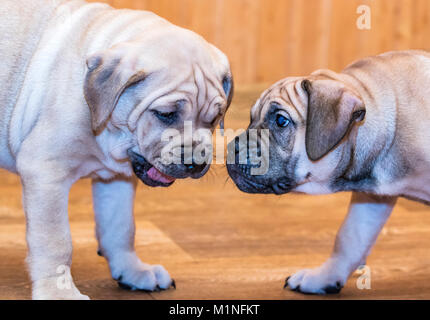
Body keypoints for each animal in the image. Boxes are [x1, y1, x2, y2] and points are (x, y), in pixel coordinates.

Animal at [0, 0, 233, 300]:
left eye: (214, 119)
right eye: (165, 114)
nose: (196, 163)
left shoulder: (116, 180)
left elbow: (121, 228)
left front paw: (132, 270)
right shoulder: (45, 171)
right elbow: (56, 241)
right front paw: (58, 291)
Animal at [230, 50, 430, 296]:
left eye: (281, 120)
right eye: (251, 118)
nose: (231, 148)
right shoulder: (372, 198)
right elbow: (349, 238)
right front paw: (323, 277)